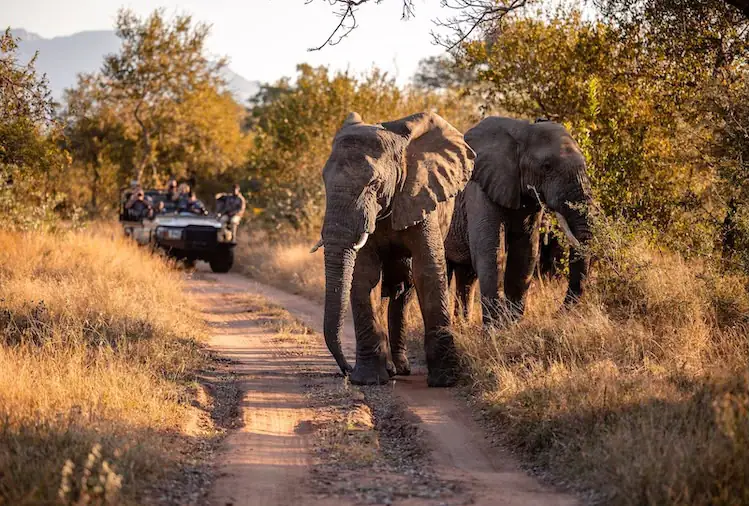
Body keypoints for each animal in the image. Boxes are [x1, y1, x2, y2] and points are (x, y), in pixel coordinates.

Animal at [311, 111, 475, 387]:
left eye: (374, 184)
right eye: (324, 181)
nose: (345, 370)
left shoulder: (421, 196)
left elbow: (428, 270)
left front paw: (446, 380)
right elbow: (364, 275)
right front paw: (368, 380)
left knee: (404, 291)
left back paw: (401, 369)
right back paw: (390, 370)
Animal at [445, 116, 592, 325]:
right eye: (547, 167)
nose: (555, 314)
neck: (523, 131)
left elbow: (526, 252)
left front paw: (512, 324)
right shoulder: (479, 190)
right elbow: (490, 251)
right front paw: (497, 329)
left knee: (466, 275)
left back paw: (462, 326)